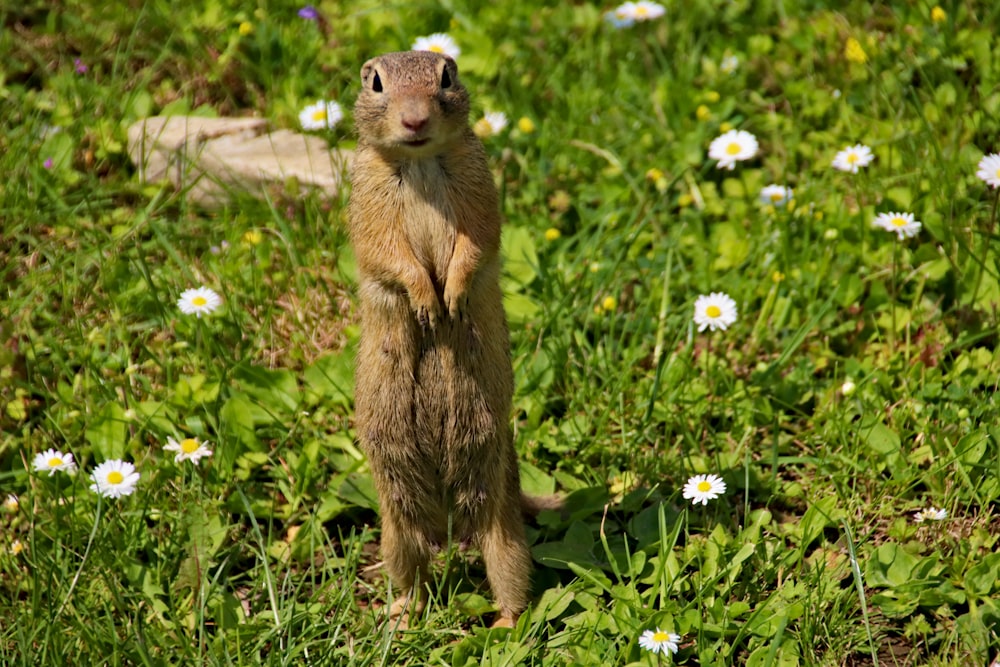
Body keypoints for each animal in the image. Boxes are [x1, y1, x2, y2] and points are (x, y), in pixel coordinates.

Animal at [348, 51, 552, 628]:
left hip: (498, 516)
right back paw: (401, 617)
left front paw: (452, 298)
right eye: (376, 82)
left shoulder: (480, 187)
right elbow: (387, 252)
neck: (420, 162)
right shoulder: (366, 198)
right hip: (396, 524)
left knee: (507, 568)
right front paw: (427, 301)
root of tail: (448, 523)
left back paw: (505, 624)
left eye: (447, 76)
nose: (415, 120)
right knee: (412, 569)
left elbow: (476, 241)